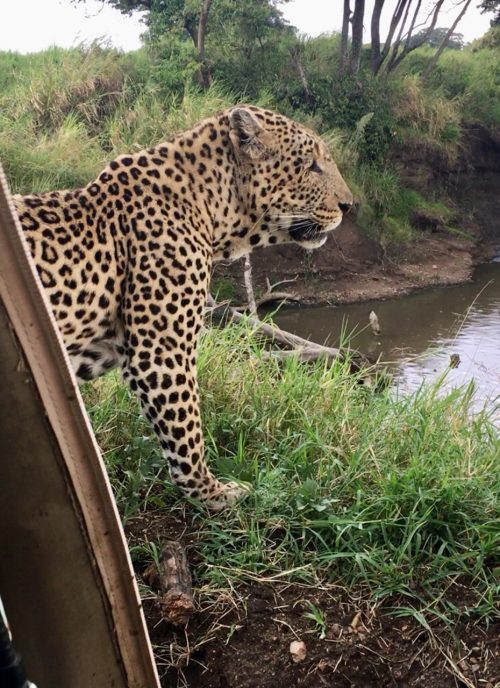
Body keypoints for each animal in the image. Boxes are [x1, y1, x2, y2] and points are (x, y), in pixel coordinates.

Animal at [13, 105, 354, 508]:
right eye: (312, 165)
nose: (348, 205)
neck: (213, 210)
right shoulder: (161, 352)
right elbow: (187, 431)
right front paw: (212, 493)